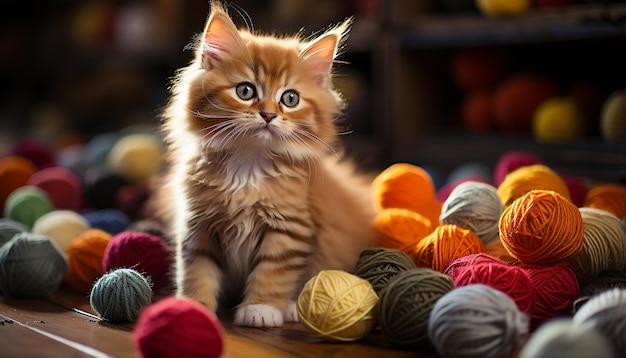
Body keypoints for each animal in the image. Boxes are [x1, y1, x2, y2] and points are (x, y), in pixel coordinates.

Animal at [155, 0, 380, 328]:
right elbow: (197, 271)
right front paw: (194, 307)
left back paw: (291, 307)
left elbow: (272, 271)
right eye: (245, 91)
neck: (248, 166)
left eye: (290, 98)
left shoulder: (289, 229)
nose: (269, 115)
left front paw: (261, 308)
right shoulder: (199, 226)